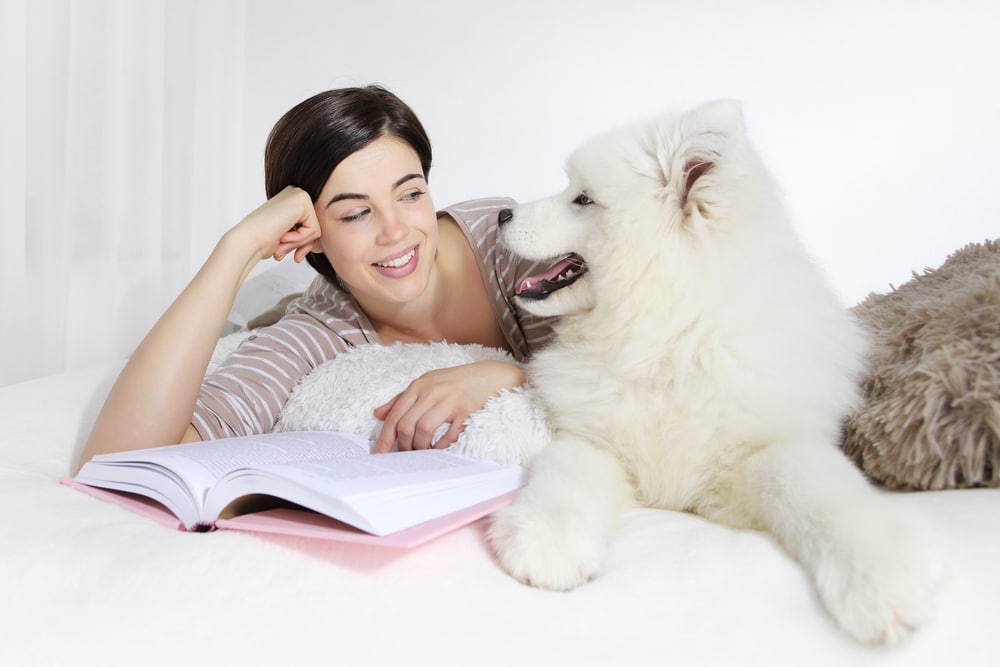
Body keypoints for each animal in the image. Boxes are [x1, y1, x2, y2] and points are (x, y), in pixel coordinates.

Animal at [488, 100, 948, 648]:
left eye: (582, 198)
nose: (501, 214)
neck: (668, 337)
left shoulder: (761, 451)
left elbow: (821, 490)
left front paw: (884, 577)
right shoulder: (595, 440)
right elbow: (565, 476)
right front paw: (547, 542)